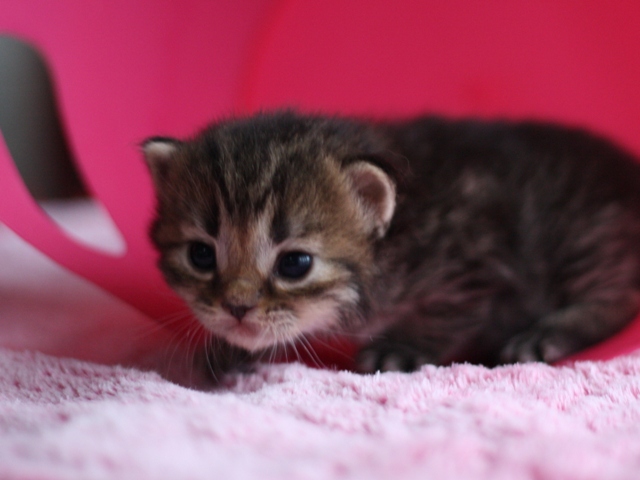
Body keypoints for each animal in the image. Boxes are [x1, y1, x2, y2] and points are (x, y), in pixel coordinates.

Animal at [142, 111, 640, 372]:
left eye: (294, 264)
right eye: (201, 255)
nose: (237, 308)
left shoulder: (474, 262)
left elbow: (444, 315)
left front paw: (401, 348)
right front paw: (229, 350)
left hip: (587, 239)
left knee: (617, 298)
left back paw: (548, 333)